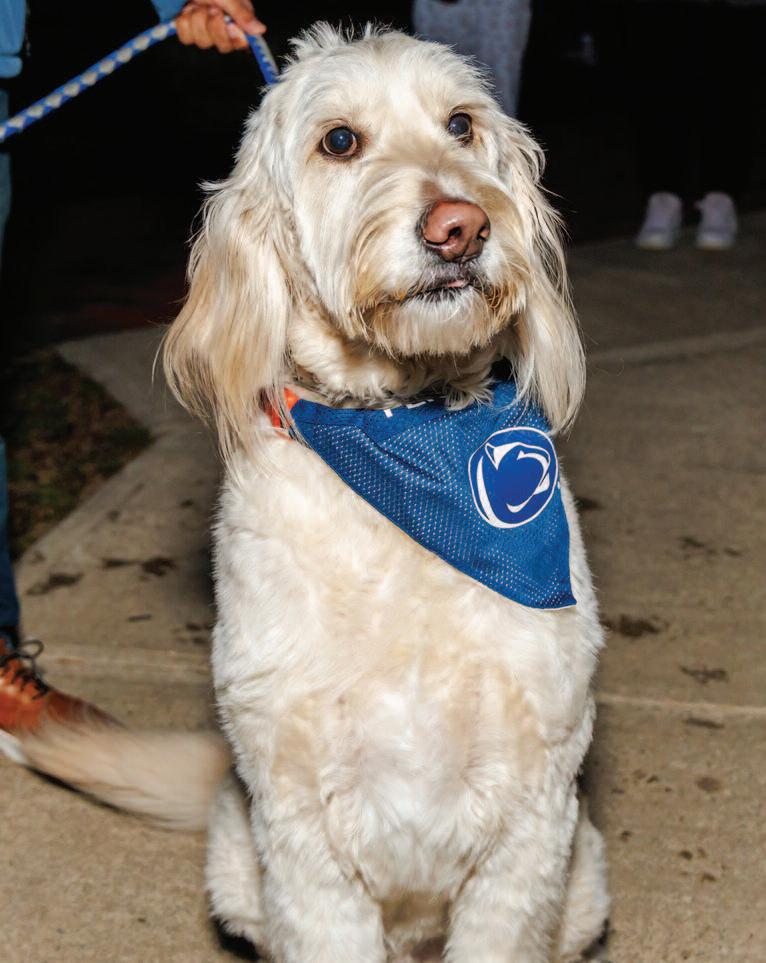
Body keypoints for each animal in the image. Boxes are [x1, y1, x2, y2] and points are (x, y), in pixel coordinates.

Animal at [11, 25, 610, 962]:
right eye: (339, 141)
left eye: (462, 124)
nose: (460, 226)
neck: (408, 445)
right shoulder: (297, 826)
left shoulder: (534, 814)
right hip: (238, 861)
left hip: (583, 878)